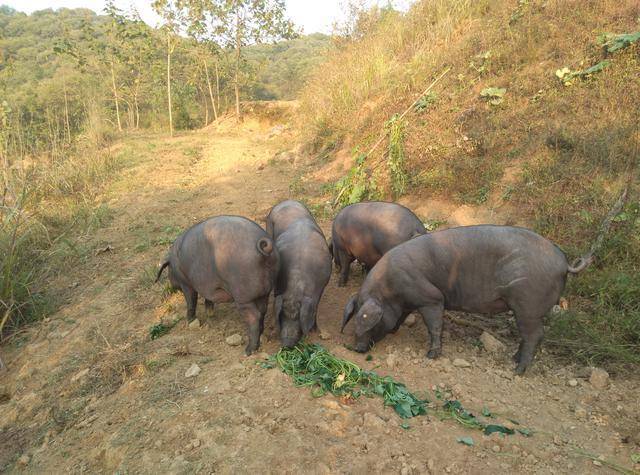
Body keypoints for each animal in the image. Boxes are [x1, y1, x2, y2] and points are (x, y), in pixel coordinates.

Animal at [156, 216, 278, 354]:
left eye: (168, 270)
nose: (171, 287)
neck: (174, 262)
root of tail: (263, 247)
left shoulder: (186, 284)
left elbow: (191, 301)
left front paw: (190, 321)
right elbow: (208, 299)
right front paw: (210, 314)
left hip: (242, 295)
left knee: (254, 316)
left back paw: (248, 351)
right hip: (265, 291)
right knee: (262, 311)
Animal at [264, 199, 330, 348]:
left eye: (298, 317)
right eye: (282, 315)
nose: (287, 343)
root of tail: (287, 201)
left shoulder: (321, 288)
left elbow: (315, 309)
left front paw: (315, 330)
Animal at [342, 225, 592, 374]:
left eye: (369, 323)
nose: (357, 349)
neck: (390, 289)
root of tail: (563, 262)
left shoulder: (431, 298)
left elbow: (434, 325)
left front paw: (431, 355)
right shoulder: (408, 303)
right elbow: (401, 317)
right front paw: (395, 330)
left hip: (527, 305)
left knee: (535, 335)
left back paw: (518, 370)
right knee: (531, 335)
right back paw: (514, 359)